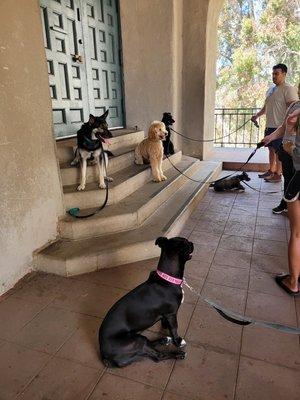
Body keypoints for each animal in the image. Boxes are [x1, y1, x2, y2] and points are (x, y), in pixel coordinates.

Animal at [97, 236, 193, 368]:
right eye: (185, 243)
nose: (192, 243)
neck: (167, 279)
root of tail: (104, 356)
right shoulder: (171, 314)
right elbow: (174, 328)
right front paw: (178, 342)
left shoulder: (166, 315)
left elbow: (165, 324)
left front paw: (166, 330)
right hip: (137, 341)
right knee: (158, 356)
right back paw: (178, 354)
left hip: (138, 340)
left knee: (150, 345)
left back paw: (164, 340)